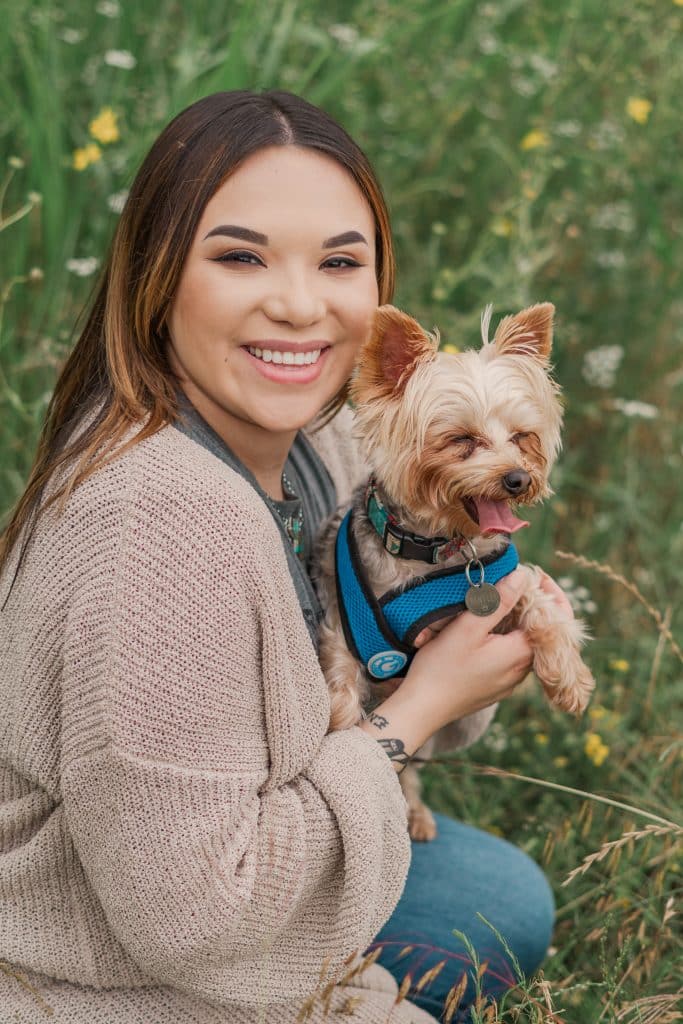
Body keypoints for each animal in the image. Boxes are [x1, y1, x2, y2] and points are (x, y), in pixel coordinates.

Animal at [315, 301, 593, 839]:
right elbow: (341, 688)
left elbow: (542, 606)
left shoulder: (505, 583)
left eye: (522, 438)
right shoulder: (343, 624)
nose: (518, 478)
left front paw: (567, 675)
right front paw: (340, 723)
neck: (436, 549)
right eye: (462, 440)